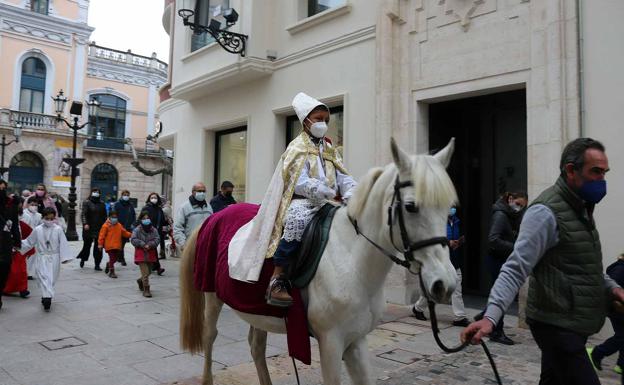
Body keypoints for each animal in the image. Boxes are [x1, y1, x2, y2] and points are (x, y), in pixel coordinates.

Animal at [180, 138, 458, 384]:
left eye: (448, 207)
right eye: (411, 206)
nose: (445, 284)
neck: (353, 260)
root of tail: (212, 217)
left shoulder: (356, 341)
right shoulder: (331, 343)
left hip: (254, 307)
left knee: (256, 346)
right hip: (212, 296)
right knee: (210, 336)